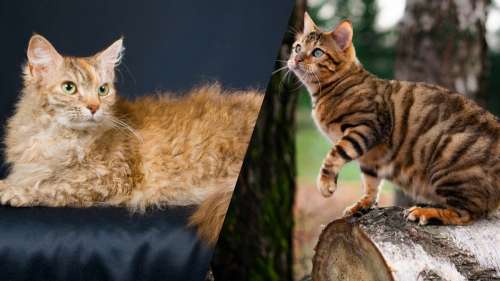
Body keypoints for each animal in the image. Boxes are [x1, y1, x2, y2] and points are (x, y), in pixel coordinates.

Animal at [0, 34, 264, 243]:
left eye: (103, 90)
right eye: (69, 88)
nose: (94, 107)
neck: (57, 136)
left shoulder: (110, 179)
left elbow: (52, 186)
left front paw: (13, 191)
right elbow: (35, 177)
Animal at [288, 13, 500, 224]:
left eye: (317, 52)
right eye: (297, 47)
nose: (296, 59)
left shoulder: (366, 127)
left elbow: (334, 154)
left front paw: (326, 183)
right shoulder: (370, 157)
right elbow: (370, 183)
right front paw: (363, 204)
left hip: (449, 159)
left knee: (465, 214)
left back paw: (424, 212)